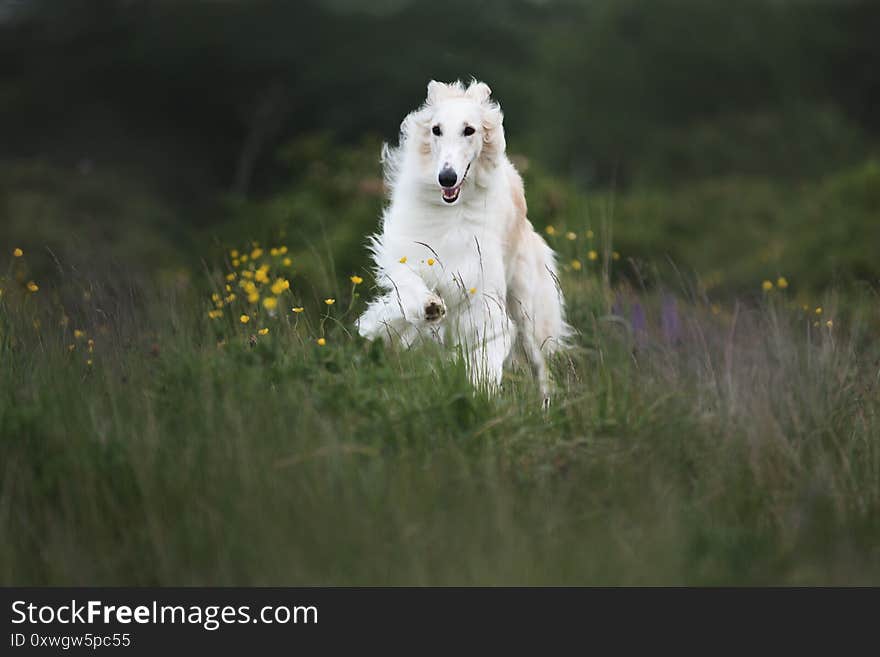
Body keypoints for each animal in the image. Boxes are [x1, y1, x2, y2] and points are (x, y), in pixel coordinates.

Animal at [354, 79, 576, 402]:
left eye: (469, 130)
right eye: (436, 129)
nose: (446, 178)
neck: (451, 211)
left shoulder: (482, 289)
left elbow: (488, 346)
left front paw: (481, 391)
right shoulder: (407, 255)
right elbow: (407, 291)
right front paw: (427, 306)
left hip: (526, 310)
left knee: (540, 367)